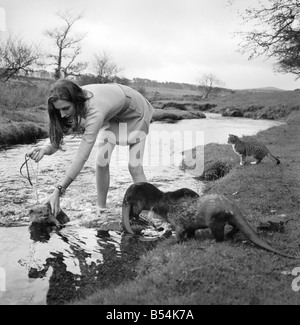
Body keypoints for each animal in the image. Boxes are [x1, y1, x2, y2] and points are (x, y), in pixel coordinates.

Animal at [123, 190, 298, 258]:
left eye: (151, 208)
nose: (144, 214)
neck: (170, 208)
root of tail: (230, 205)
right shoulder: (186, 223)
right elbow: (190, 232)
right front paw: (190, 238)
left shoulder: (177, 222)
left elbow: (179, 234)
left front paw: (175, 241)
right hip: (228, 218)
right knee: (235, 227)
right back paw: (231, 233)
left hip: (214, 220)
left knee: (219, 236)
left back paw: (215, 240)